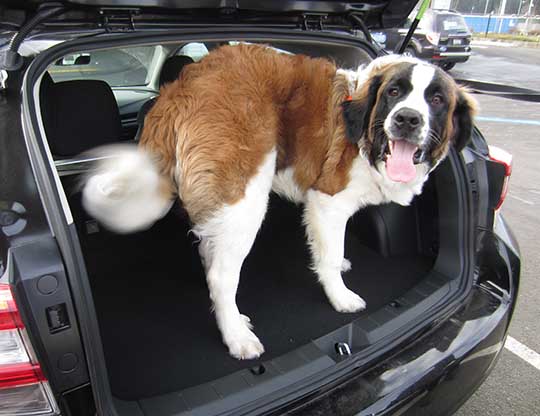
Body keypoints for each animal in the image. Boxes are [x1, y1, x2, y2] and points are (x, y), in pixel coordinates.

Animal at [80, 44, 476, 360]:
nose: (408, 119)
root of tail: (178, 87)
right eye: (395, 92)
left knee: (211, 253)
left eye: (437, 100)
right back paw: (237, 336)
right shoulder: (327, 201)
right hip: (245, 196)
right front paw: (340, 296)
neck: (365, 131)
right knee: (222, 274)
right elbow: (329, 255)